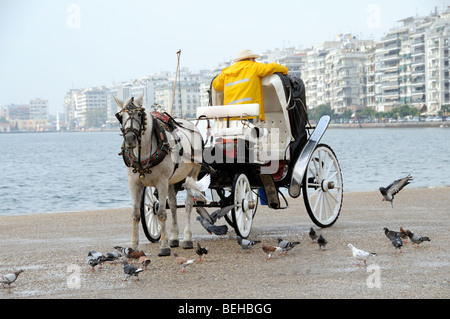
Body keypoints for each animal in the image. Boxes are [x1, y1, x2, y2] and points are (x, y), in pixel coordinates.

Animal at [113, 95, 203, 258]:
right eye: (120, 117)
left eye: (139, 114)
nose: (130, 139)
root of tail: (190, 124)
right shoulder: (134, 183)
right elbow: (136, 214)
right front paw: (133, 246)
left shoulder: (161, 182)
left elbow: (161, 213)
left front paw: (164, 246)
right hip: (172, 180)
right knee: (173, 206)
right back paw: (174, 237)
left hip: (193, 173)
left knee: (187, 205)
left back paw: (187, 238)